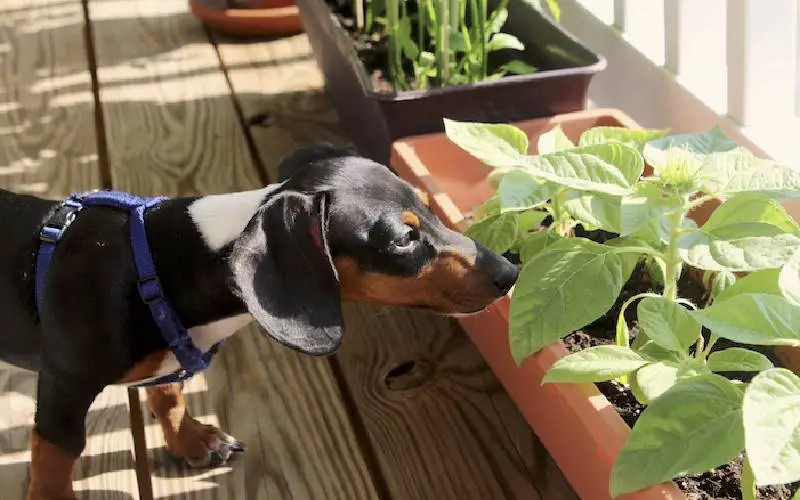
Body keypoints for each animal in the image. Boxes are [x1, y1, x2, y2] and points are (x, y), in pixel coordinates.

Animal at [0, 143, 520, 498]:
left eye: (429, 211)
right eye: (401, 239)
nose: (510, 272)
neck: (156, 266)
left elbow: (168, 394)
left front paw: (191, 440)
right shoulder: (64, 384)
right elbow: (57, 456)